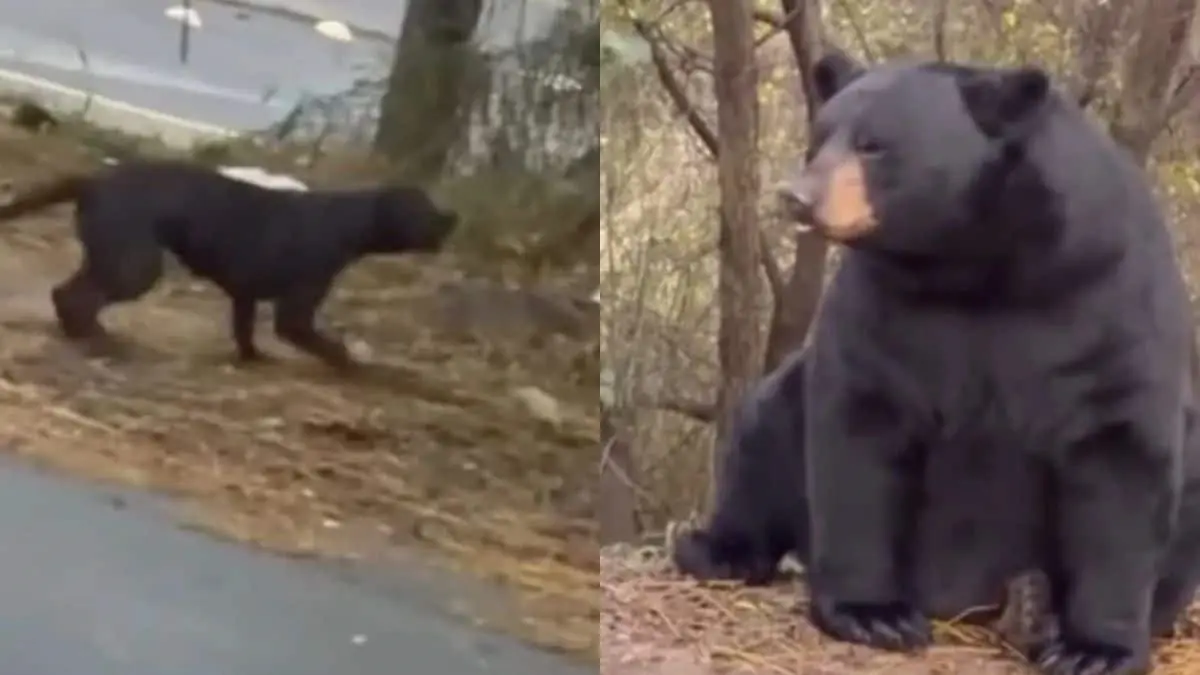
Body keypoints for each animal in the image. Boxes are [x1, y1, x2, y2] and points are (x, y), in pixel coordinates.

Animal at [775, 51, 1200, 675]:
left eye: (874, 144)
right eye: (818, 140)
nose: (796, 196)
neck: (972, 264)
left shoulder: (1108, 291)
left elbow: (1121, 450)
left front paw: (1092, 650)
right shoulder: (883, 306)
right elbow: (860, 424)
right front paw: (874, 614)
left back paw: (1034, 607)